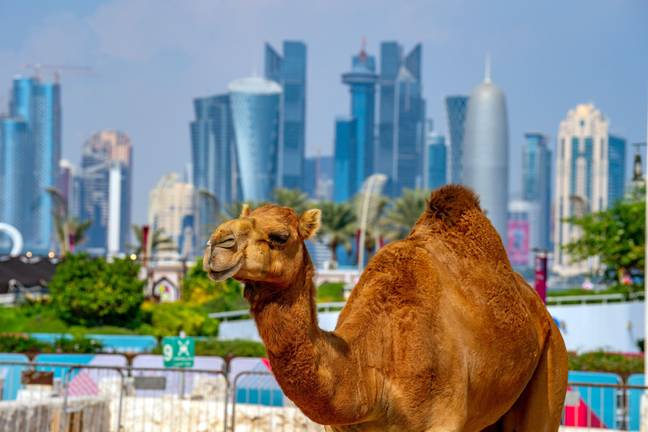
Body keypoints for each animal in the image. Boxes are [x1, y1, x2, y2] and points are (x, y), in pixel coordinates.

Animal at [204, 184, 568, 430]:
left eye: (279, 236)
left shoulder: (443, 420)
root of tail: (544, 317)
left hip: (552, 369)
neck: (371, 372)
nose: (216, 244)